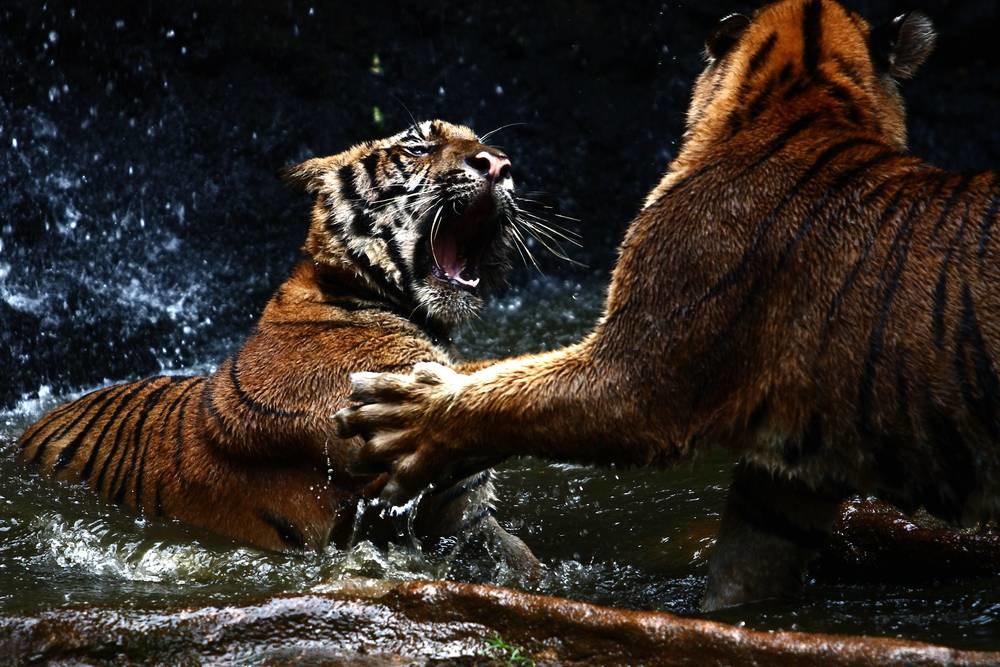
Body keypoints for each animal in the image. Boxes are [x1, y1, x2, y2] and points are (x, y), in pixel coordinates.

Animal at [336, 0, 1000, 610]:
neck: (810, 104)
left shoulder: (637, 377)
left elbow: (514, 392)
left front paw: (407, 413)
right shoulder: (789, 470)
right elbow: (749, 564)